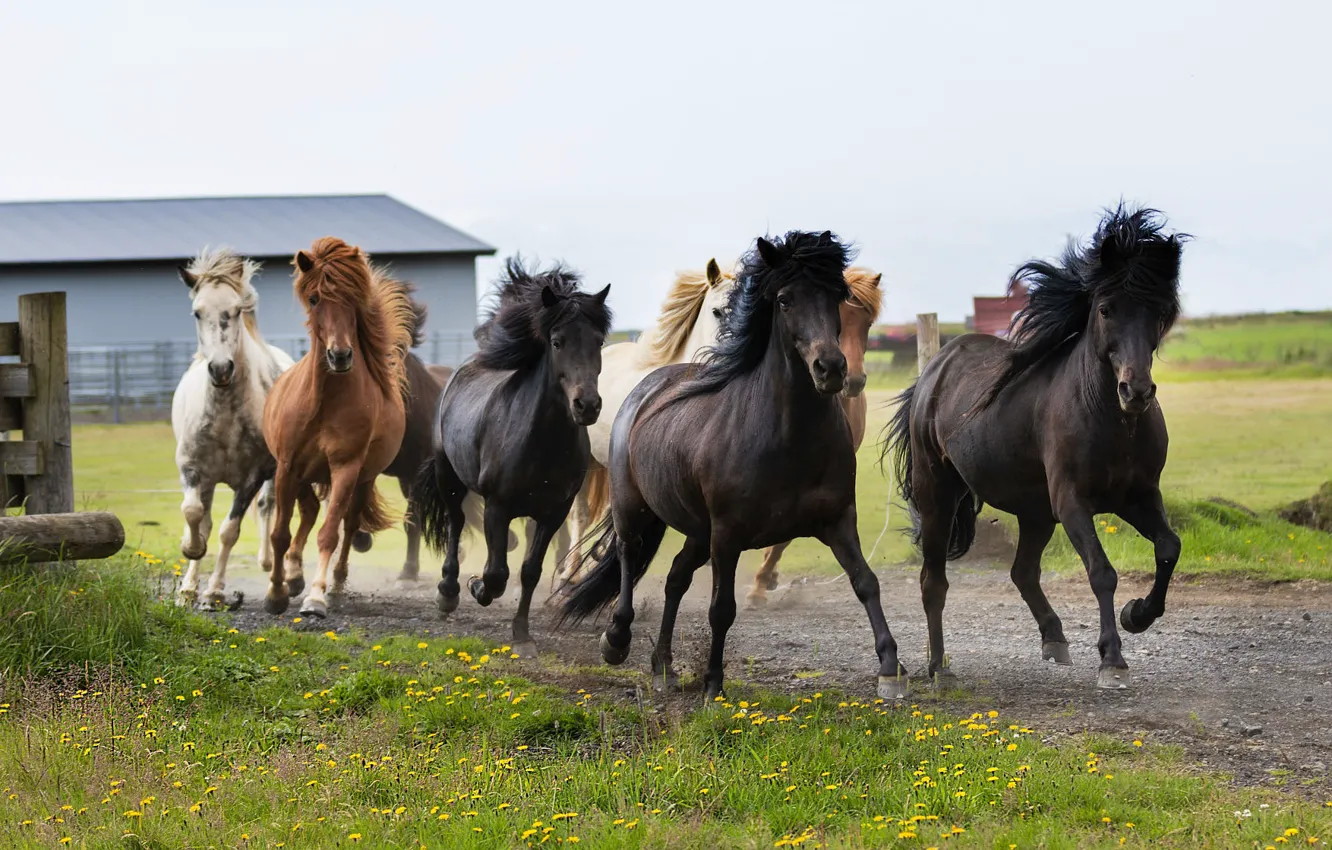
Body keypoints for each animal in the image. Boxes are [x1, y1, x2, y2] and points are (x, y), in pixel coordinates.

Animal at [171, 247, 294, 607]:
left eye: (236, 310)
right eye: (197, 312)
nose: (221, 369)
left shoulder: (253, 477)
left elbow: (229, 530)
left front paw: (214, 592)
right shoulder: (193, 469)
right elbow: (195, 514)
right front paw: (190, 554)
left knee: (269, 508)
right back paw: (189, 585)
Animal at [262, 237, 416, 617]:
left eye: (353, 299)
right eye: (314, 298)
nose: (340, 356)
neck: (323, 402)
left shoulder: (346, 468)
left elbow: (329, 533)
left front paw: (316, 597)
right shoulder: (287, 467)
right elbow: (280, 534)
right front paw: (276, 592)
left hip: (361, 479)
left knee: (347, 524)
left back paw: (334, 585)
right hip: (304, 474)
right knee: (308, 512)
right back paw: (293, 575)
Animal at [416, 258, 610, 656]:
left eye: (598, 341)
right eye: (557, 342)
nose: (587, 406)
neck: (541, 442)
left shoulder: (554, 512)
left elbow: (529, 570)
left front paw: (522, 634)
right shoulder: (498, 506)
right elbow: (496, 573)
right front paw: (477, 587)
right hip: (448, 477)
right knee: (455, 524)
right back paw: (448, 593)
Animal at [883, 205, 1187, 689]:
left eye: (1158, 311)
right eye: (1106, 309)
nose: (1135, 391)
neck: (1110, 420)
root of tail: (934, 370)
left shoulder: (1136, 496)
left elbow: (1168, 547)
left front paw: (1136, 614)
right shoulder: (1072, 502)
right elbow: (1102, 572)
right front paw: (1112, 659)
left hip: (1035, 511)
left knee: (1022, 572)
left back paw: (1054, 639)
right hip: (940, 497)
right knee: (933, 582)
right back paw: (939, 668)